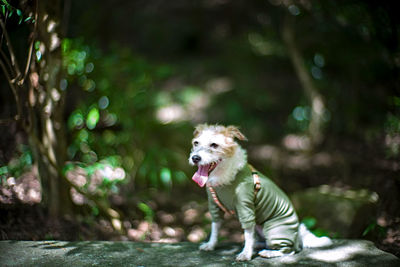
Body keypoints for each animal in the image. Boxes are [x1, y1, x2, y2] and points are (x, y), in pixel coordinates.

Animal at [188, 125, 332, 262]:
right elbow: (215, 228)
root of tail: (298, 235)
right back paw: (257, 245)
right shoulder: (214, 206)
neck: (224, 178)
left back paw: (269, 252)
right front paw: (211, 245)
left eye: (214, 145)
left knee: (289, 250)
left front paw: (246, 254)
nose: (195, 158)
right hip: (260, 228)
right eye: (196, 143)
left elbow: (247, 233)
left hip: (273, 228)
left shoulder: (245, 207)